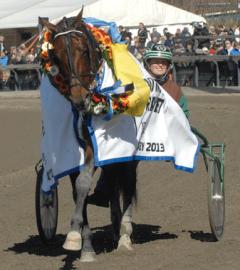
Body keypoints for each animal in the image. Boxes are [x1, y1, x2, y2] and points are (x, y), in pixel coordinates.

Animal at [38, 10, 138, 262]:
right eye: (57, 56)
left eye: (83, 49)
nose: (79, 98)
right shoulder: (74, 152)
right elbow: (77, 191)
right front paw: (85, 246)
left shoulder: (95, 149)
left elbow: (84, 183)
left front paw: (74, 233)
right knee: (113, 184)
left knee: (128, 183)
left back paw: (125, 234)